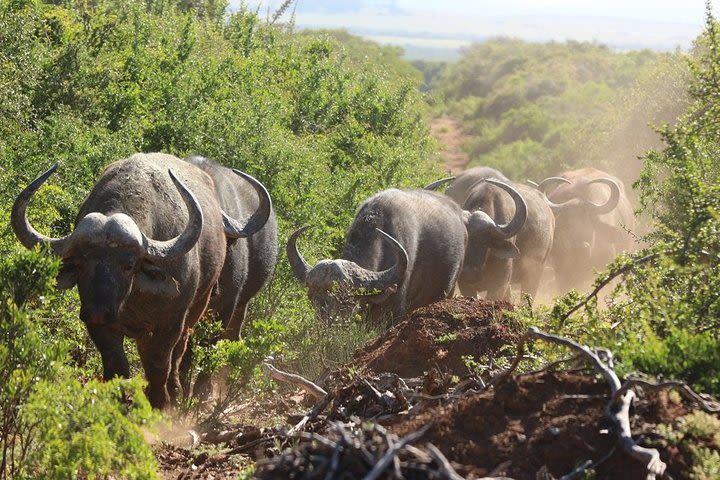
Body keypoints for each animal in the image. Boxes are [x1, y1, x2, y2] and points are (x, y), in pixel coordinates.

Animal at [12, 154, 272, 408]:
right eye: (80, 263)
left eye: (128, 265)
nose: (98, 311)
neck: (133, 296)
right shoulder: (98, 326)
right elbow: (116, 364)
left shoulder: (172, 321)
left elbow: (159, 362)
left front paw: (160, 402)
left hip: (201, 305)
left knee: (181, 351)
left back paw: (177, 389)